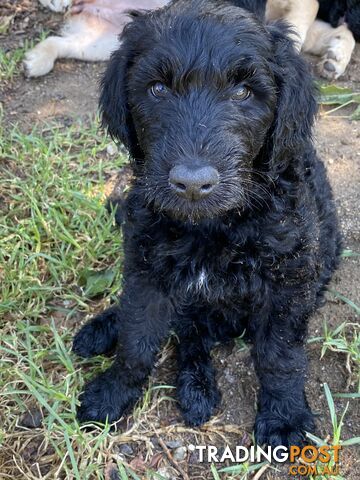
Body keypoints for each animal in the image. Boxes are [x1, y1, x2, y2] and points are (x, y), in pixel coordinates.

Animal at [73, 0, 340, 450]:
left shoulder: (289, 281)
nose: (193, 183)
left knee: (194, 332)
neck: (212, 226)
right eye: (157, 89)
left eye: (244, 92)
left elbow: (281, 355)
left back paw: (195, 390)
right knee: (181, 327)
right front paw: (113, 391)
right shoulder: (146, 266)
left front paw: (285, 417)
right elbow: (136, 335)